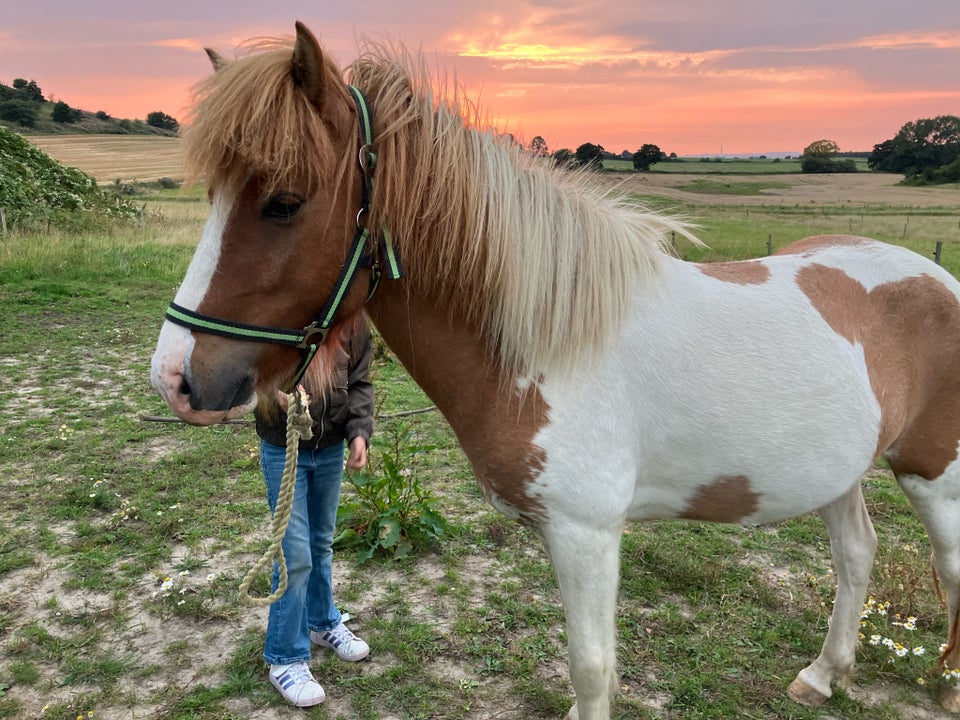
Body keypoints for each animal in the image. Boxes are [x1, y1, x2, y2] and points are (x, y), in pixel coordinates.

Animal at [152, 22, 960, 720]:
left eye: (284, 203)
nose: (176, 378)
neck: (547, 346)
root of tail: (935, 278)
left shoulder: (587, 532)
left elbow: (592, 666)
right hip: (839, 472)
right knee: (858, 555)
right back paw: (823, 676)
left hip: (933, 476)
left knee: (947, 569)